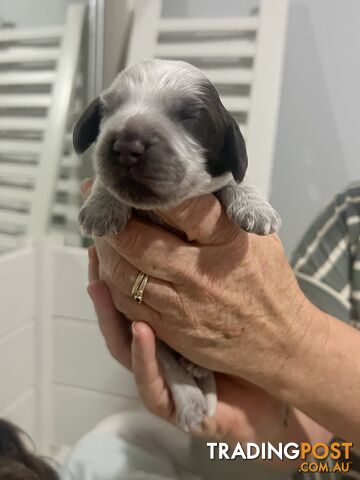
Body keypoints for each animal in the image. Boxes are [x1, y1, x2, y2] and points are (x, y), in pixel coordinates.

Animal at [73, 59, 282, 432]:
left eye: (190, 117)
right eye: (109, 109)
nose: (126, 145)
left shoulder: (218, 179)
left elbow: (234, 179)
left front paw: (256, 207)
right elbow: (106, 181)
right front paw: (102, 205)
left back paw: (198, 366)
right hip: (150, 331)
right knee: (169, 364)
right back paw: (190, 400)